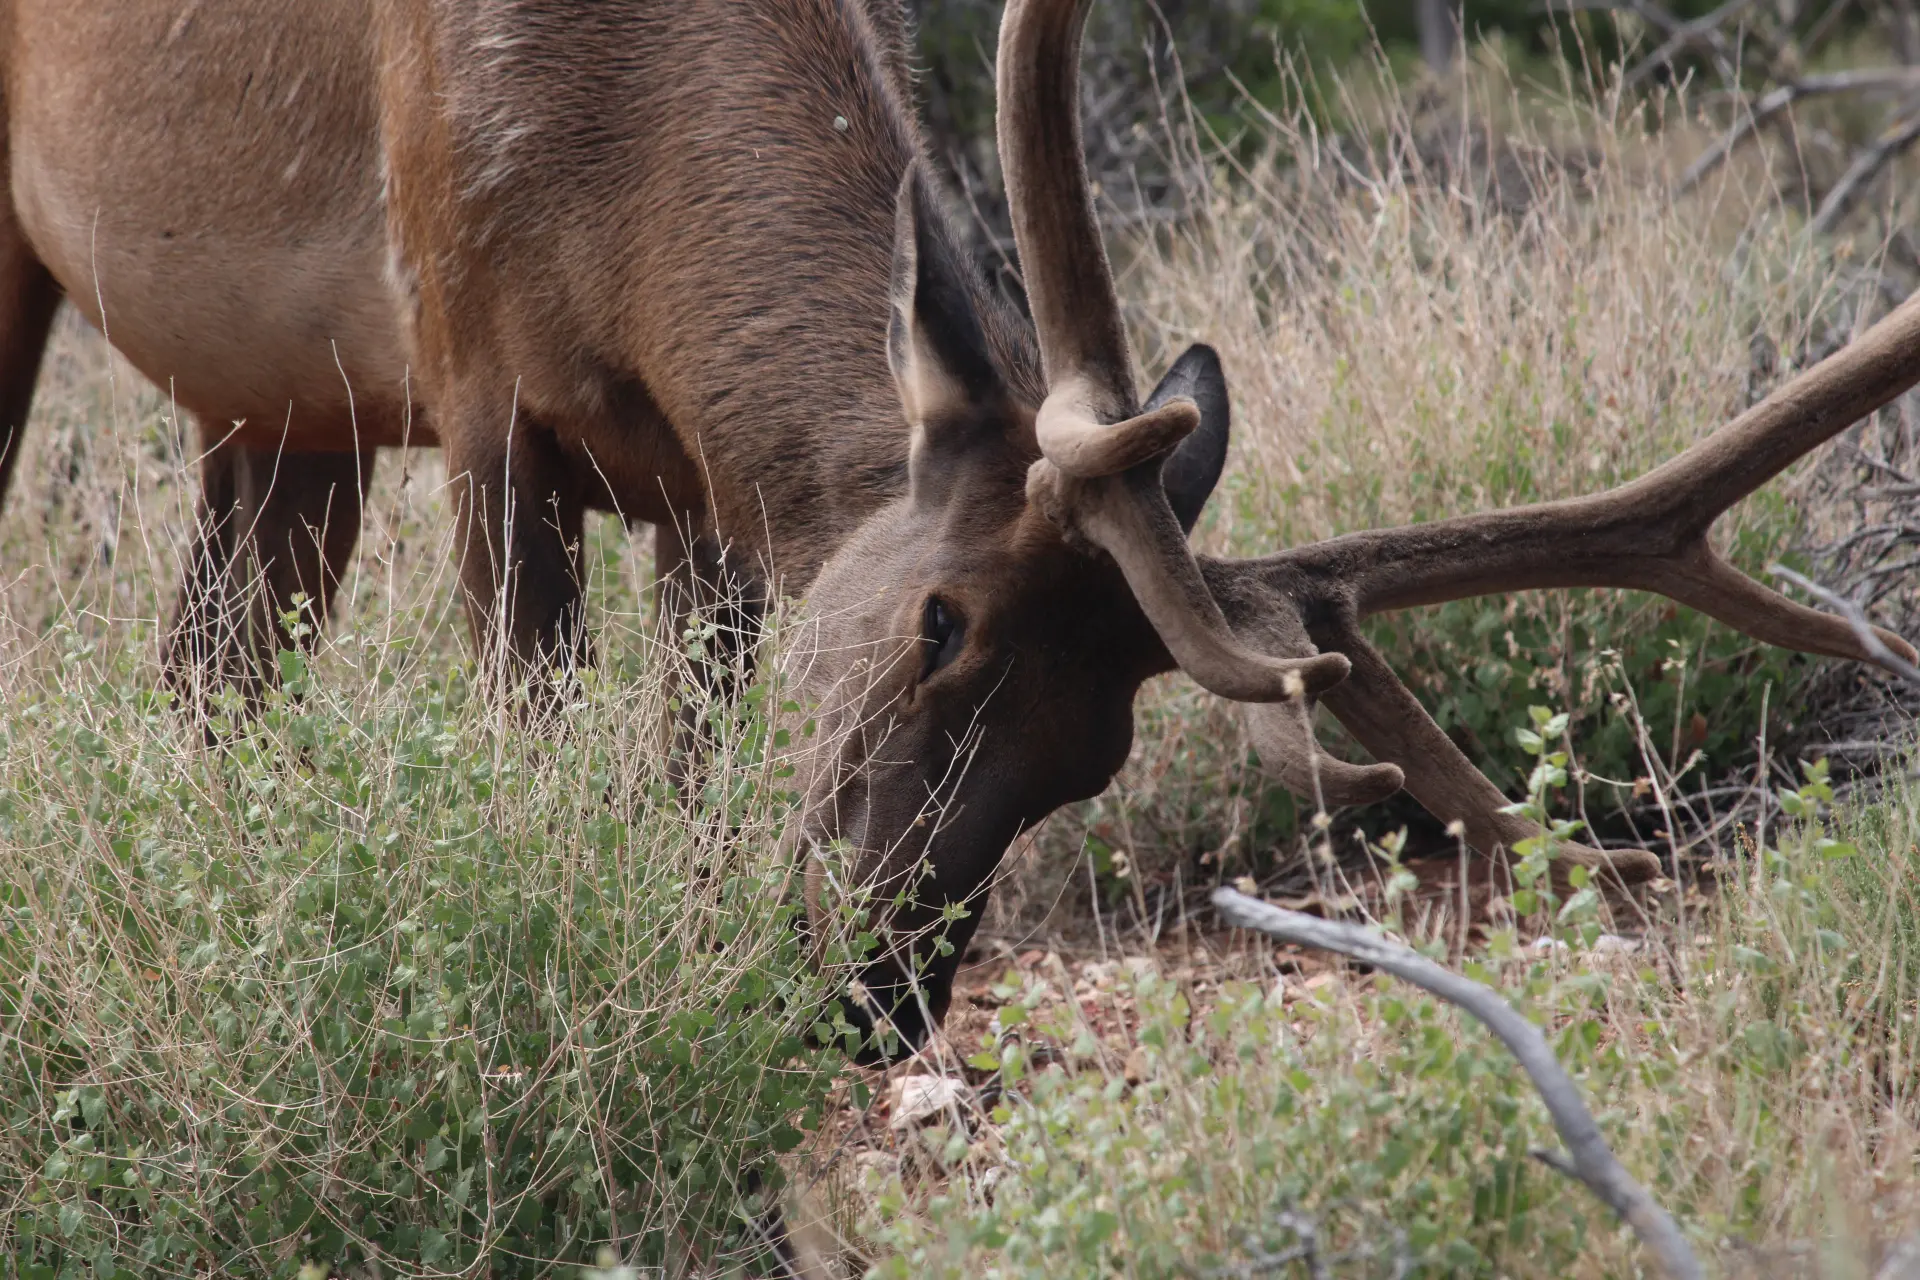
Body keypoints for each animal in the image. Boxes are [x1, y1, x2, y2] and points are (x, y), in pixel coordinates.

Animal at [2, 0, 1915, 1063]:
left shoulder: (706, 494)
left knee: (209, 677)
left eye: (1096, 753)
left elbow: (685, 766)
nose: (870, 993)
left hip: (278, 420)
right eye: (942, 624)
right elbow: (532, 736)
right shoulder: (472, 364)